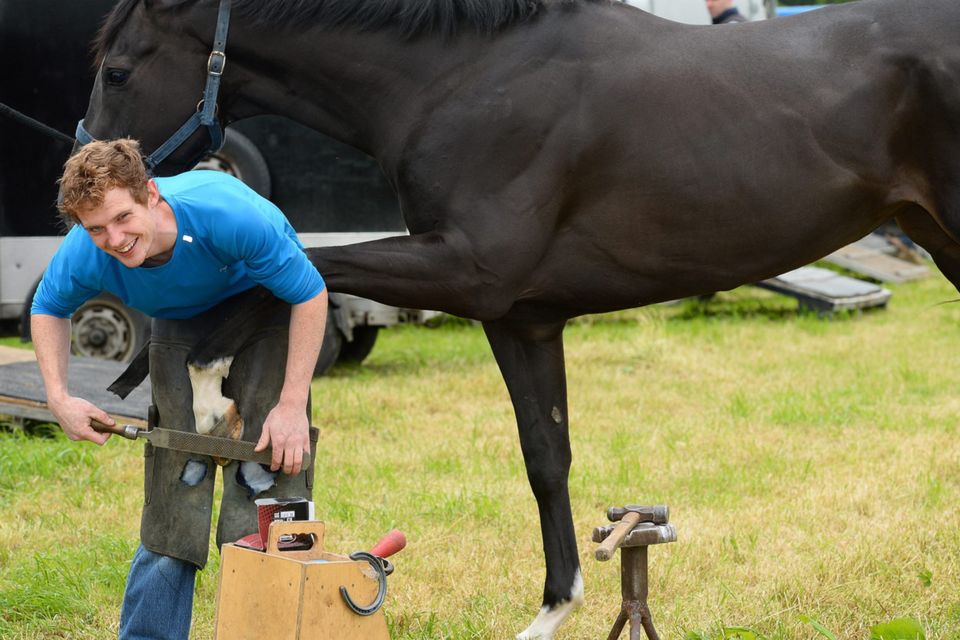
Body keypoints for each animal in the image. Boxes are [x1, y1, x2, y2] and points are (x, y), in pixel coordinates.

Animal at [80, 1, 960, 636]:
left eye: (119, 69)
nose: (83, 185)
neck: (465, 78)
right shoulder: (523, 317)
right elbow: (546, 459)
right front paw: (554, 607)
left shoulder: (468, 269)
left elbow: (296, 274)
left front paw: (205, 379)